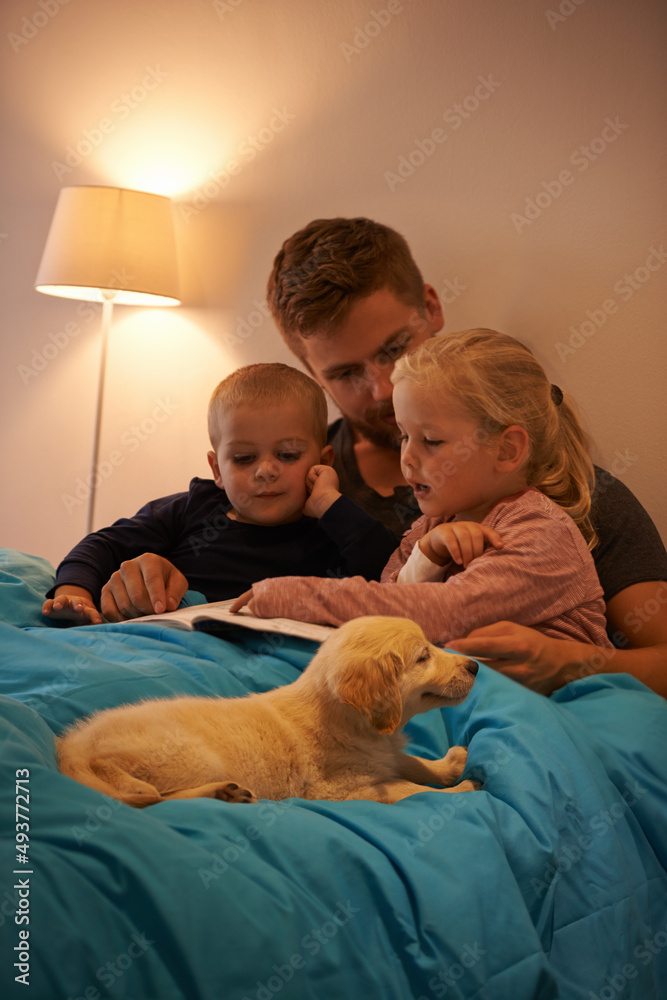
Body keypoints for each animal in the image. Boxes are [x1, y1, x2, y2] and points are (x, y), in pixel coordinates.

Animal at [58, 616, 480, 804]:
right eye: (423, 656)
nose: (475, 666)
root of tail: (73, 746)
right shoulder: (343, 789)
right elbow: (408, 790)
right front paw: (464, 788)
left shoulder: (384, 754)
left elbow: (410, 764)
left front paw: (450, 765)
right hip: (191, 758)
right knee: (151, 796)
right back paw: (219, 793)